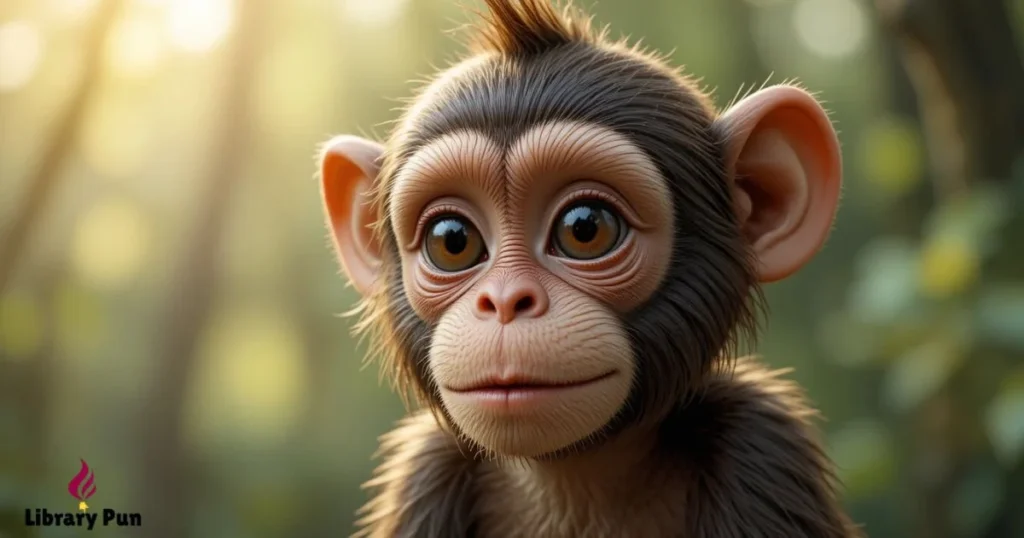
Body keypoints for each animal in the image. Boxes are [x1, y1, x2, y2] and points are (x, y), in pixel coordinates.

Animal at [318, 0, 862, 536]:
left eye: (585, 229)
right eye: (452, 240)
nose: (506, 301)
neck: (573, 486)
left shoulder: (765, 452)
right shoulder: (422, 472)